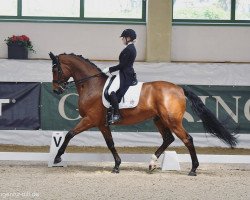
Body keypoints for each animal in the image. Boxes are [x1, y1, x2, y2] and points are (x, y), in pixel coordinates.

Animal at [49, 52, 238, 176]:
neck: (91, 85)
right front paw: (117, 165)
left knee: (187, 139)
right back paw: (152, 164)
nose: (56, 90)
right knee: (168, 139)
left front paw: (57, 158)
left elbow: (69, 134)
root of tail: (178, 88)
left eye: (55, 69)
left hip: (172, 120)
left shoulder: (90, 119)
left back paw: (193, 169)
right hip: (159, 120)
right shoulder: (102, 123)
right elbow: (110, 143)